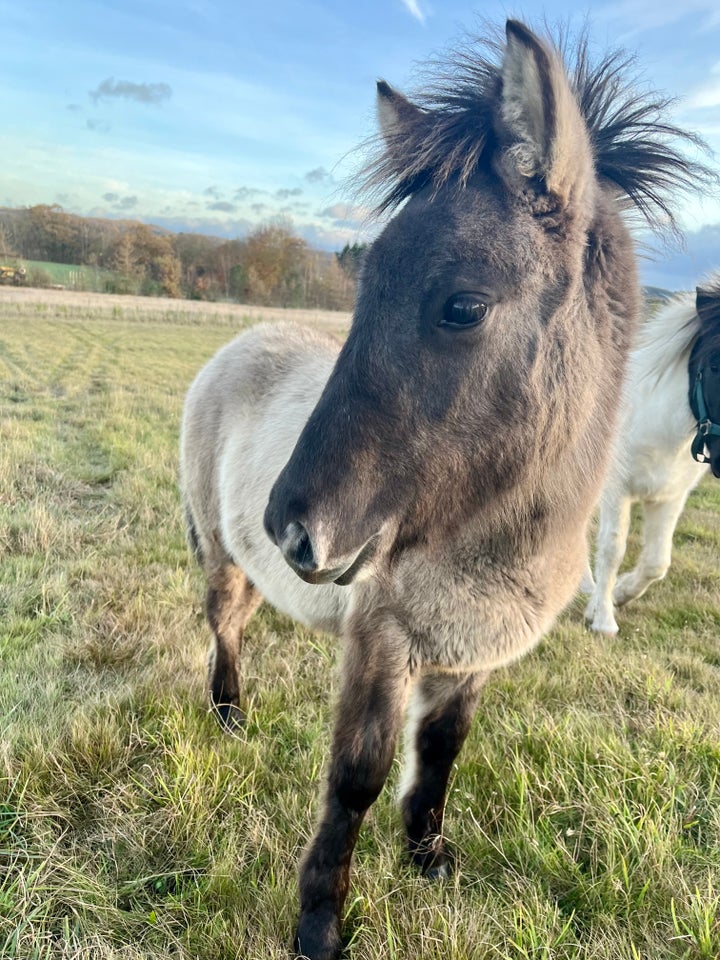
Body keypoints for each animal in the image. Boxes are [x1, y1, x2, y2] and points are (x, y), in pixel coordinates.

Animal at [584, 280, 716, 636]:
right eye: (715, 365)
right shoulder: (616, 490)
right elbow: (613, 549)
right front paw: (603, 619)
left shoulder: (669, 496)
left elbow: (657, 562)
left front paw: (620, 594)